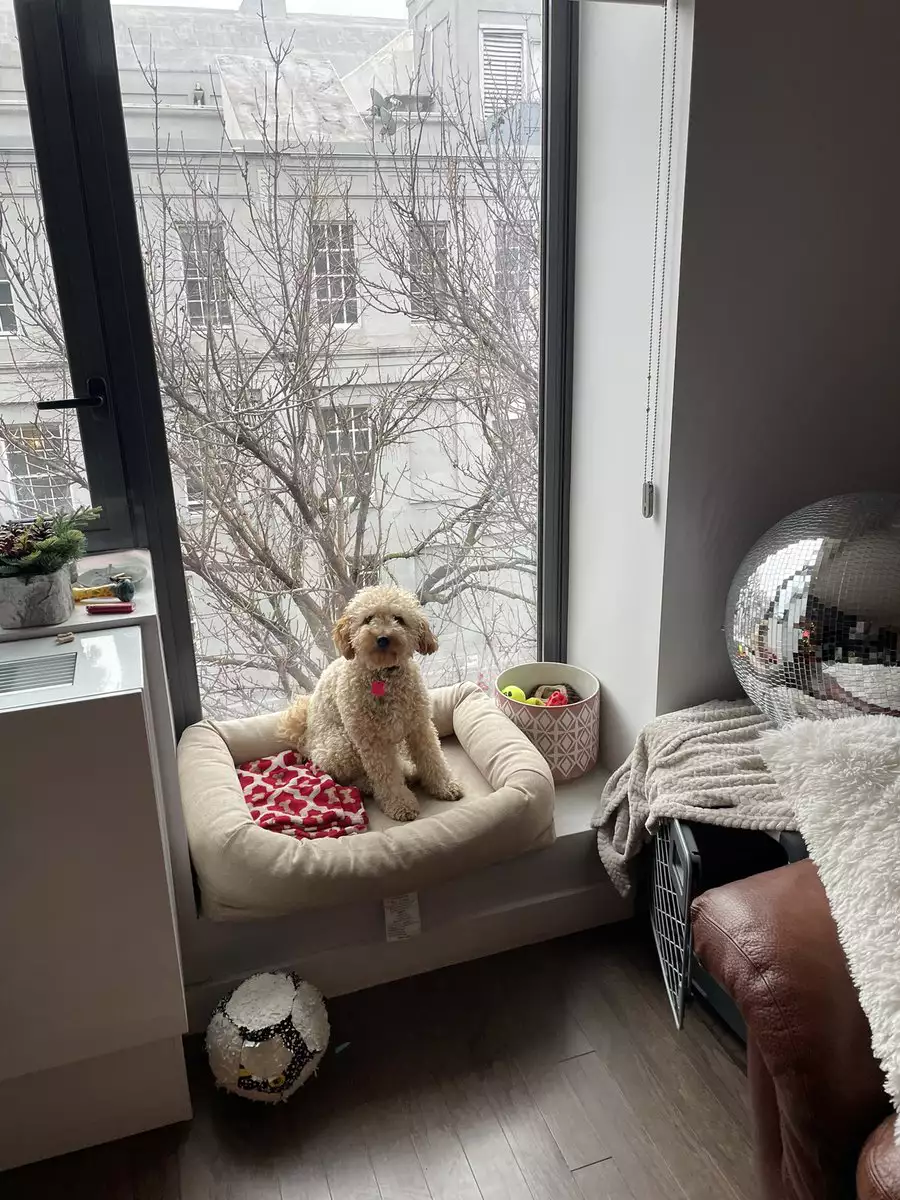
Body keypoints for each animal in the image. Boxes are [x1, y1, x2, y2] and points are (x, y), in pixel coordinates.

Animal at [282, 585, 465, 820]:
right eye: (368, 619)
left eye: (398, 619)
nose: (383, 638)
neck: (383, 675)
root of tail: (305, 739)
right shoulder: (372, 740)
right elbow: (387, 776)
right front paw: (400, 804)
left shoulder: (420, 727)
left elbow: (433, 758)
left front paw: (444, 786)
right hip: (342, 745)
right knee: (350, 777)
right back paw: (370, 784)